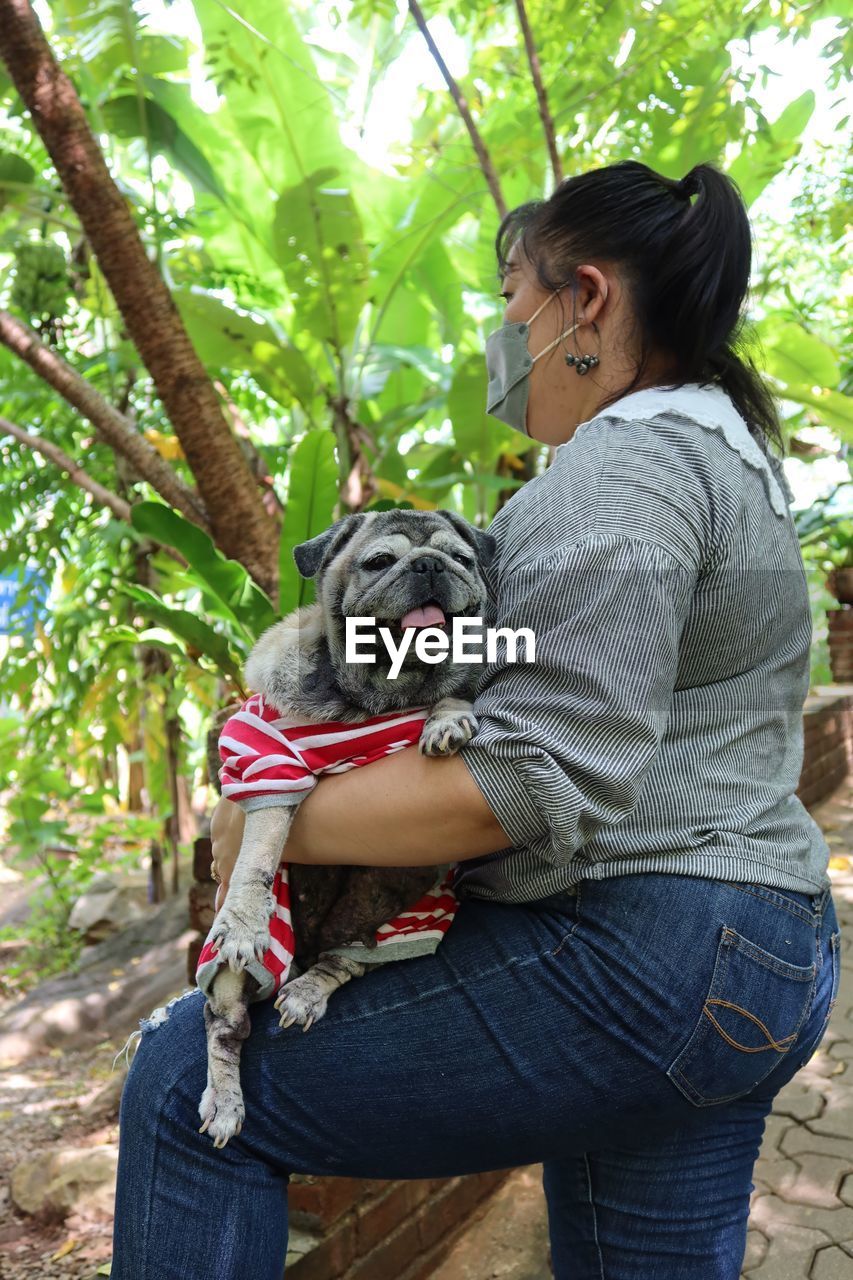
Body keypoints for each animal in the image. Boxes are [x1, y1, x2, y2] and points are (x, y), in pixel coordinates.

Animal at [195, 504, 494, 1146]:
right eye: (379, 562)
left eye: (460, 558)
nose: (429, 565)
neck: (383, 697)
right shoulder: (269, 760)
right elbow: (259, 854)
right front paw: (243, 916)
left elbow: (457, 697)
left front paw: (446, 722)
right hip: (241, 970)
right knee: (226, 1025)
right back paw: (225, 1098)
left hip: (402, 922)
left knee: (345, 959)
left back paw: (307, 991)